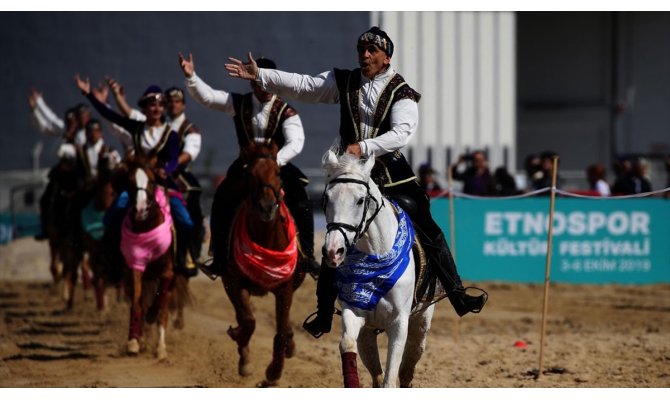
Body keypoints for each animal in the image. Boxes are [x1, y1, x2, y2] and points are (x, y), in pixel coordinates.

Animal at [218, 142, 308, 386]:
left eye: (277, 173)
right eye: (250, 175)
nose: (266, 207)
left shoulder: (285, 288)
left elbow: (280, 331)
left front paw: (274, 372)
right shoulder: (234, 282)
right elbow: (248, 321)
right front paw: (245, 358)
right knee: (243, 317)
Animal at [322, 150, 438, 388]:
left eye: (360, 200)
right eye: (327, 198)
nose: (333, 250)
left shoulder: (399, 322)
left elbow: (390, 379)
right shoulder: (354, 312)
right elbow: (347, 343)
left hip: (421, 322)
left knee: (409, 365)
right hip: (368, 333)